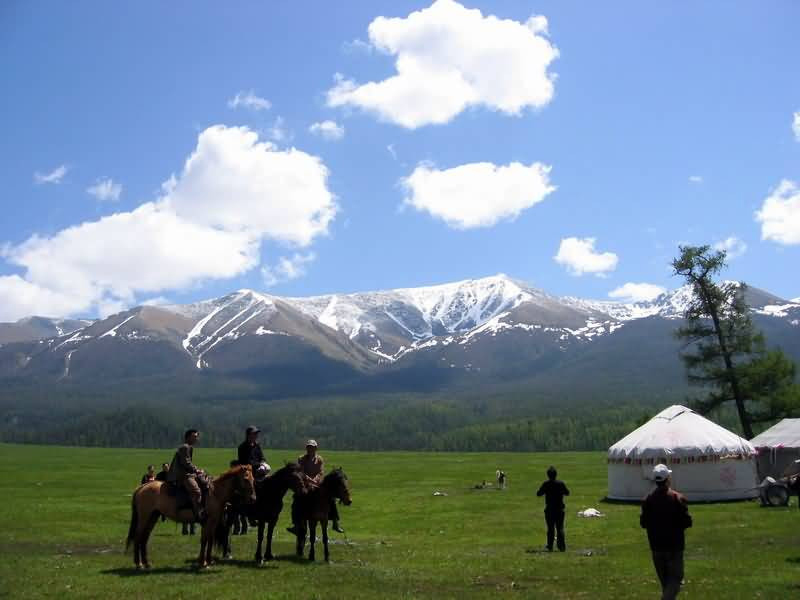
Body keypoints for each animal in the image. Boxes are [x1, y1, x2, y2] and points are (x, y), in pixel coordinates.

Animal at [126, 466, 255, 568]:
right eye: (246, 479)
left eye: (253, 479)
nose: (253, 498)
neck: (215, 493)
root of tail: (142, 487)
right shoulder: (209, 521)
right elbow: (205, 540)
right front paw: (203, 563)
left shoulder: (211, 522)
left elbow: (209, 539)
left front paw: (208, 561)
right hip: (144, 517)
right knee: (138, 536)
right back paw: (139, 564)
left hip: (152, 517)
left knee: (144, 537)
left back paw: (146, 563)